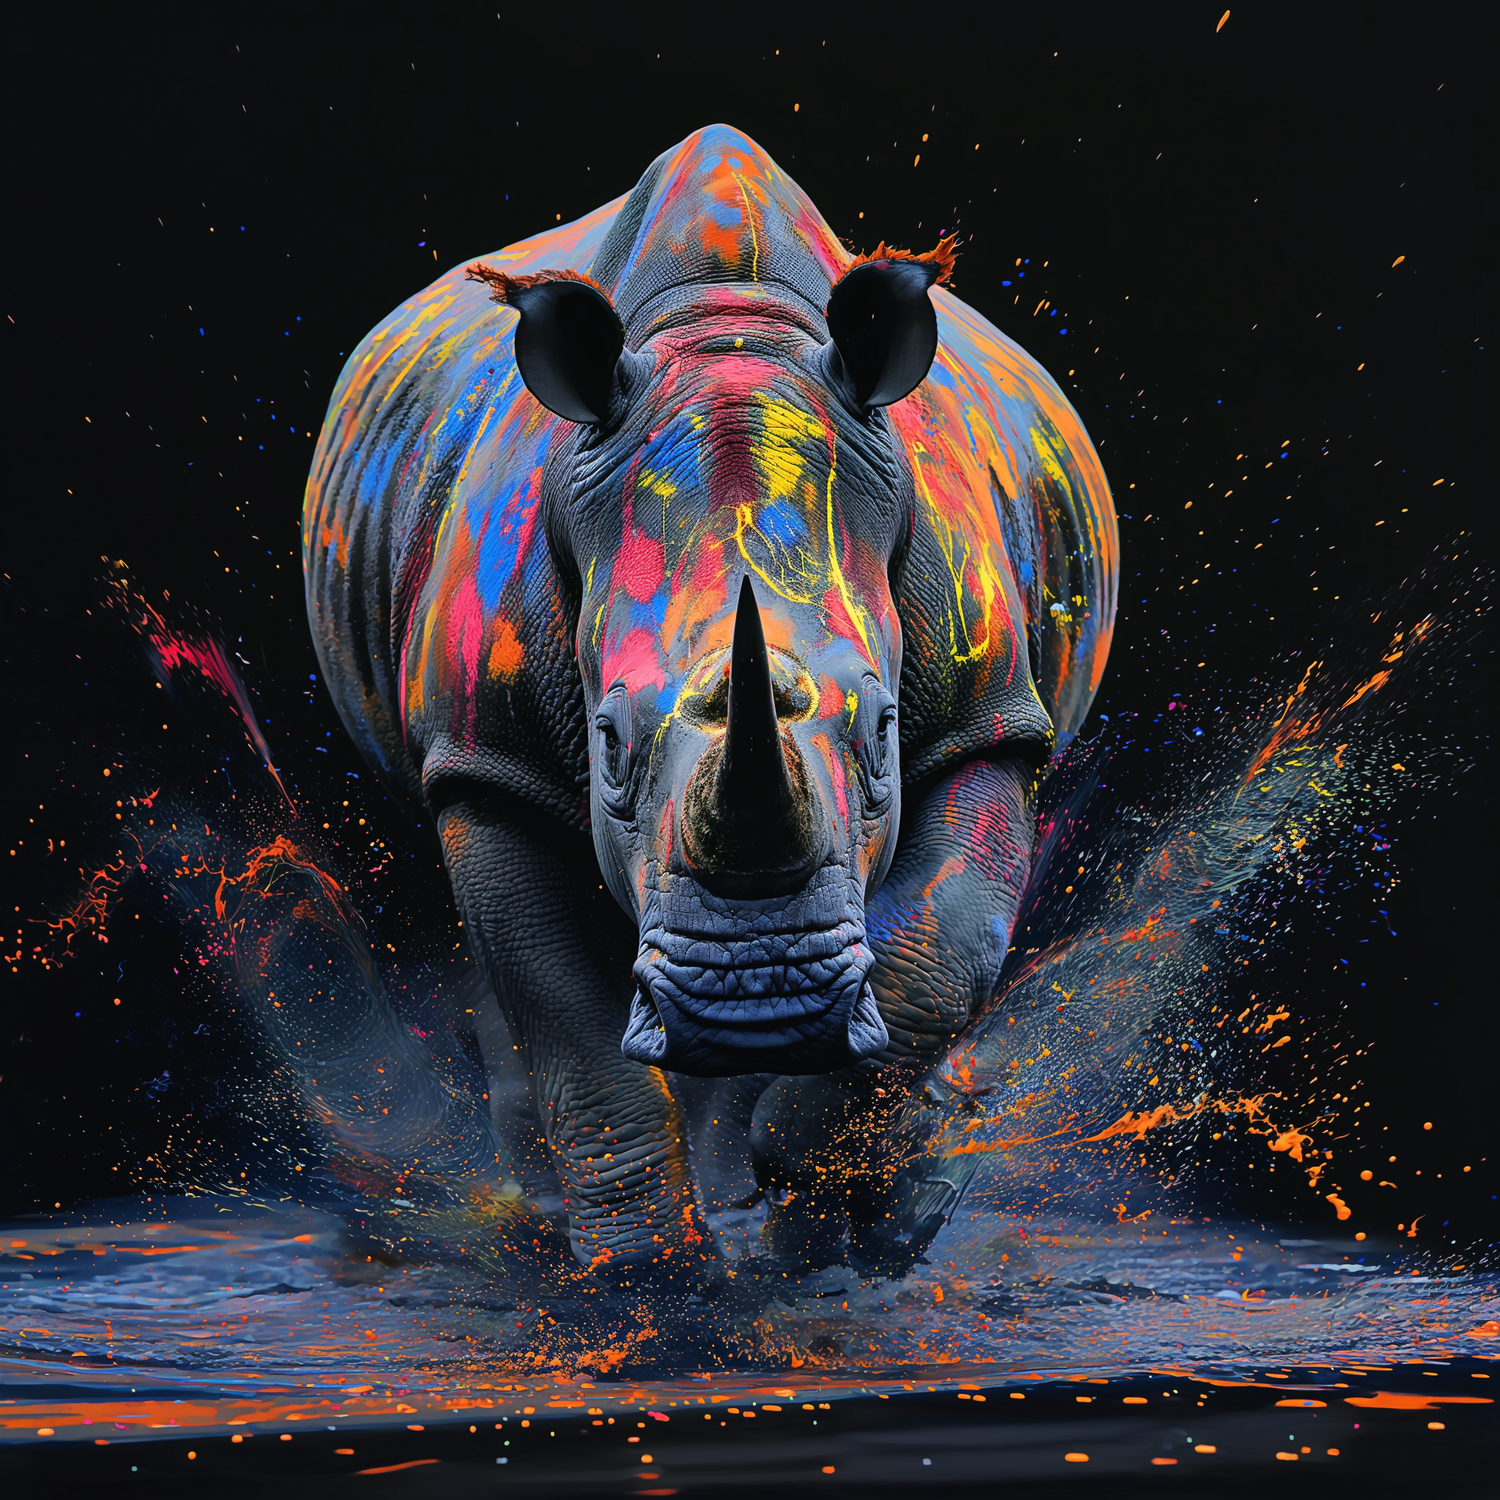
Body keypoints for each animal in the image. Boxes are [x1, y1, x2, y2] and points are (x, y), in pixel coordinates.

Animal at [304, 125, 1116, 1282]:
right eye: (604, 742)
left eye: (884, 730)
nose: (756, 999)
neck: (728, 336)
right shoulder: (487, 756)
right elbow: (568, 1026)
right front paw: (640, 1278)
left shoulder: (988, 717)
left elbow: (943, 942)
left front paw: (813, 1181)